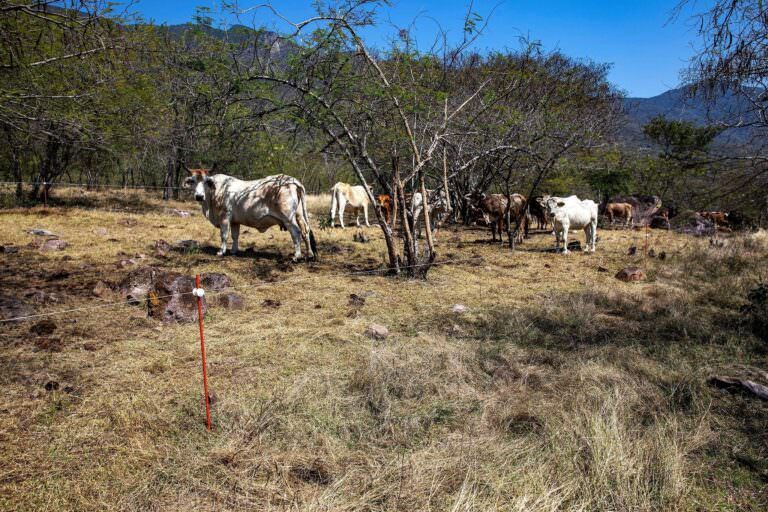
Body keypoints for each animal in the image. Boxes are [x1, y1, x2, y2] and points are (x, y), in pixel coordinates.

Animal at [183, 169, 316, 262]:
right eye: (193, 181)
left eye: (206, 182)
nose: (199, 196)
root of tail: (293, 181)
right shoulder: (235, 221)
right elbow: (235, 236)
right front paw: (234, 251)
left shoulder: (224, 217)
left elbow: (224, 235)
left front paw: (221, 251)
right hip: (299, 215)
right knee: (305, 231)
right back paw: (309, 254)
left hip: (288, 218)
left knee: (296, 232)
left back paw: (296, 256)